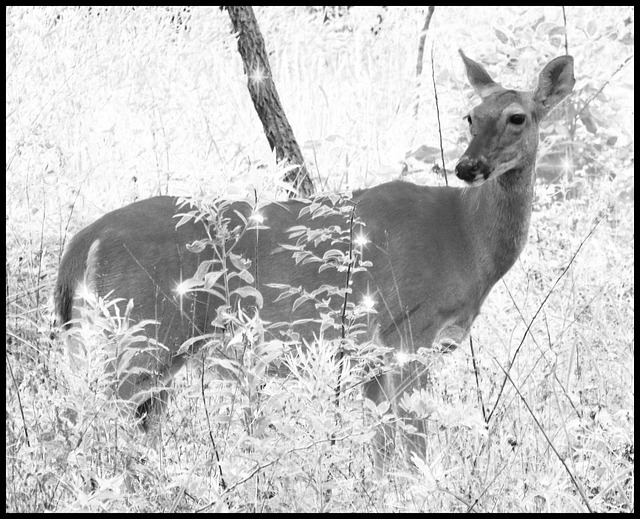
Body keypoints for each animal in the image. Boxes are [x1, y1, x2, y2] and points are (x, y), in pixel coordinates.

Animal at [55, 50, 576, 446]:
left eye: (517, 117)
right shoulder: (405, 334)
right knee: (87, 412)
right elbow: (411, 442)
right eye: (471, 117)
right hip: (141, 328)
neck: (464, 240)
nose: (468, 167)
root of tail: (83, 240)